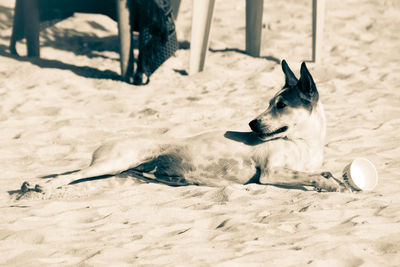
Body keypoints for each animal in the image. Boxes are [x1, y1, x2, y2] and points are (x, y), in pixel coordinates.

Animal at [20, 60, 348, 195]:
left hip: (118, 171)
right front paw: (331, 185)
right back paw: (40, 185)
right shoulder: (270, 173)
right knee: (70, 175)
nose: (251, 123)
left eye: (280, 105)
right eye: (270, 103)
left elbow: (322, 172)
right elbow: (316, 177)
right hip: (117, 160)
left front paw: (334, 180)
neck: (303, 143)